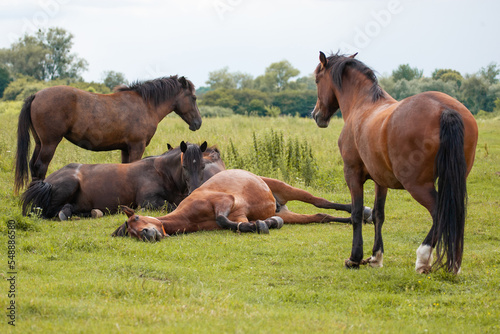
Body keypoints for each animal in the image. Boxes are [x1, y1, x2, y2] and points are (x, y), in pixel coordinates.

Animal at [14, 75, 201, 196]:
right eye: (193, 97)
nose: (198, 123)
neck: (145, 105)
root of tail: (36, 95)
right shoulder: (137, 146)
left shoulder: (126, 148)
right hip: (49, 144)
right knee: (40, 166)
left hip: (39, 143)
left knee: (33, 165)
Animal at [21, 142, 221, 220]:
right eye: (184, 166)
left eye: (203, 166)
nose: (194, 190)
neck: (161, 172)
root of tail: (47, 180)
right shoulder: (149, 201)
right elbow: (170, 206)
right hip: (68, 185)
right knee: (47, 211)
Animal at [112, 170, 372, 240]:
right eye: (132, 232)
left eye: (136, 218)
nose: (147, 234)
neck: (190, 215)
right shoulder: (239, 217)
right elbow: (234, 224)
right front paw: (264, 224)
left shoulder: (224, 201)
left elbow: (221, 218)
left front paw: (264, 225)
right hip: (292, 215)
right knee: (320, 216)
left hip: (287, 188)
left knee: (321, 202)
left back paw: (364, 212)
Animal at [310, 52, 478, 274]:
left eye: (317, 80)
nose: (316, 115)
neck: (362, 104)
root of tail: (445, 110)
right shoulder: (380, 180)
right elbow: (378, 214)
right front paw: (376, 257)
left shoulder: (352, 174)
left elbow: (357, 213)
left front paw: (355, 258)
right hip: (454, 181)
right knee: (455, 214)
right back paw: (454, 264)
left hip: (418, 185)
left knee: (440, 213)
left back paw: (423, 258)